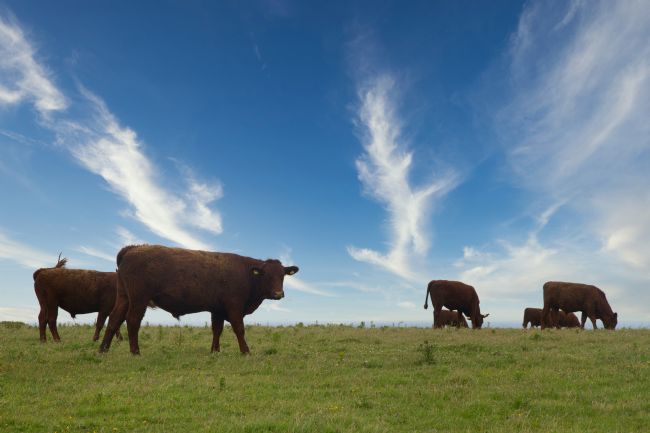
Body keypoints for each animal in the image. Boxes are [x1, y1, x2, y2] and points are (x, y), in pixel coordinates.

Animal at [99, 245, 299, 355]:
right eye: (266, 275)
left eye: (282, 275)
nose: (278, 293)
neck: (247, 274)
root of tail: (133, 248)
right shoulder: (234, 306)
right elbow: (239, 329)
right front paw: (246, 351)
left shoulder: (218, 309)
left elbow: (217, 330)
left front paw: (215, 351)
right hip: (139, 299)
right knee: (132, 321)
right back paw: (135, 352)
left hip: (123, 297)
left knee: (114, 319)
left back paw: (103, 349)